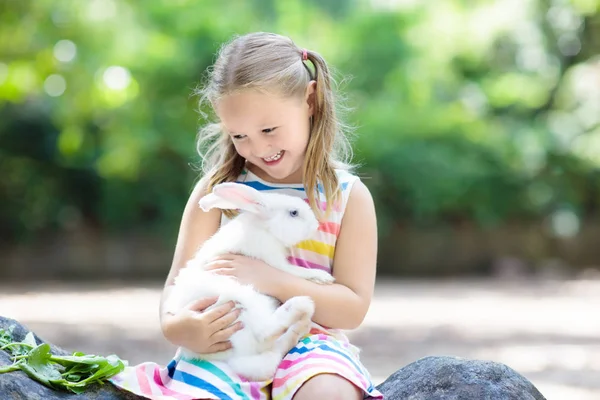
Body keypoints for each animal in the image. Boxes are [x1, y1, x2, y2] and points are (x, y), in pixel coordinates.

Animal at [164, 183, 336, 380]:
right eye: (294, 213)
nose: (315, 225)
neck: (265, 228)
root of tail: (233, 356)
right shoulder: (275, 262)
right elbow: (296, 272)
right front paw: (323, 276)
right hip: (242, 304)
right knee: (265, 335)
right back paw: (300, 305)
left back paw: (298, 325)